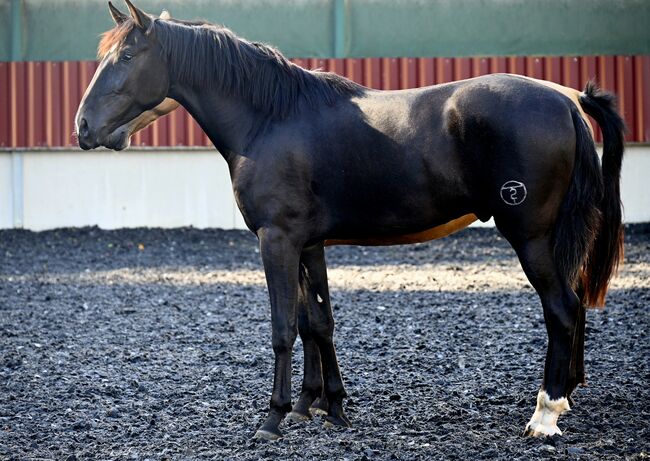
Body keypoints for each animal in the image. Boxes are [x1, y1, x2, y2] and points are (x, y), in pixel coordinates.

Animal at [76, 0, 624, 438]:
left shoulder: (277, 240)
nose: (82, 127)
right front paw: (323, 405)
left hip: (531, 237)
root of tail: (566, 99)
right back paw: (566, 395)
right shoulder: (307, 243)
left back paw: (545, 415)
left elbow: (283, 328)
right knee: (575, 304)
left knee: (561, 308)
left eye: (127, 57)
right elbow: (316, 321)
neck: (271, 119)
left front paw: (274, 416)